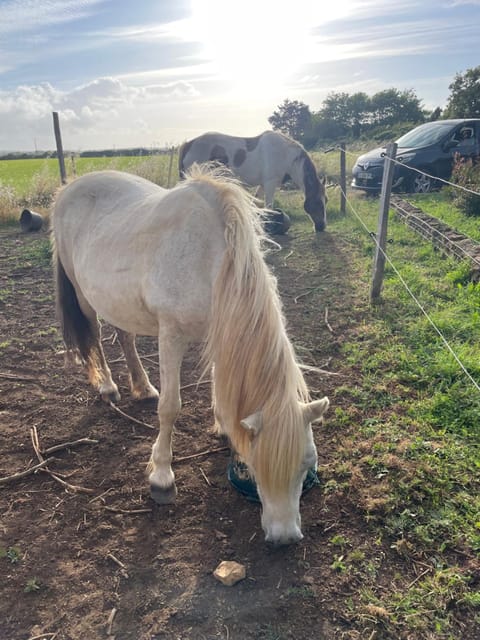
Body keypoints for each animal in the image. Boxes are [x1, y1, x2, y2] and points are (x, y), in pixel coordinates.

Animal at [52, 166, 330, 544]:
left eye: (306, 464)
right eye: (257, 464)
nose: (285, 536)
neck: (211, 257)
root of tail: (69, 188)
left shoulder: (220, 329)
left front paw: (223, 427)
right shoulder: (172, 335)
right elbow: (170, 407)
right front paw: (161, 477)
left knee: (125, 336)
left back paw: (142, 387)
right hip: (83, 295)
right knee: (94, 335)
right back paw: (108, 386)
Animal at [178, 130, 328, 232]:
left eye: (326, 201)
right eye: (318, 203)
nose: (322, 227)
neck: (287, 156)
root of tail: (188, 144)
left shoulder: (262, 185)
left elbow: (257, 205)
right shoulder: (270, 184)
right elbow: (269, 207)